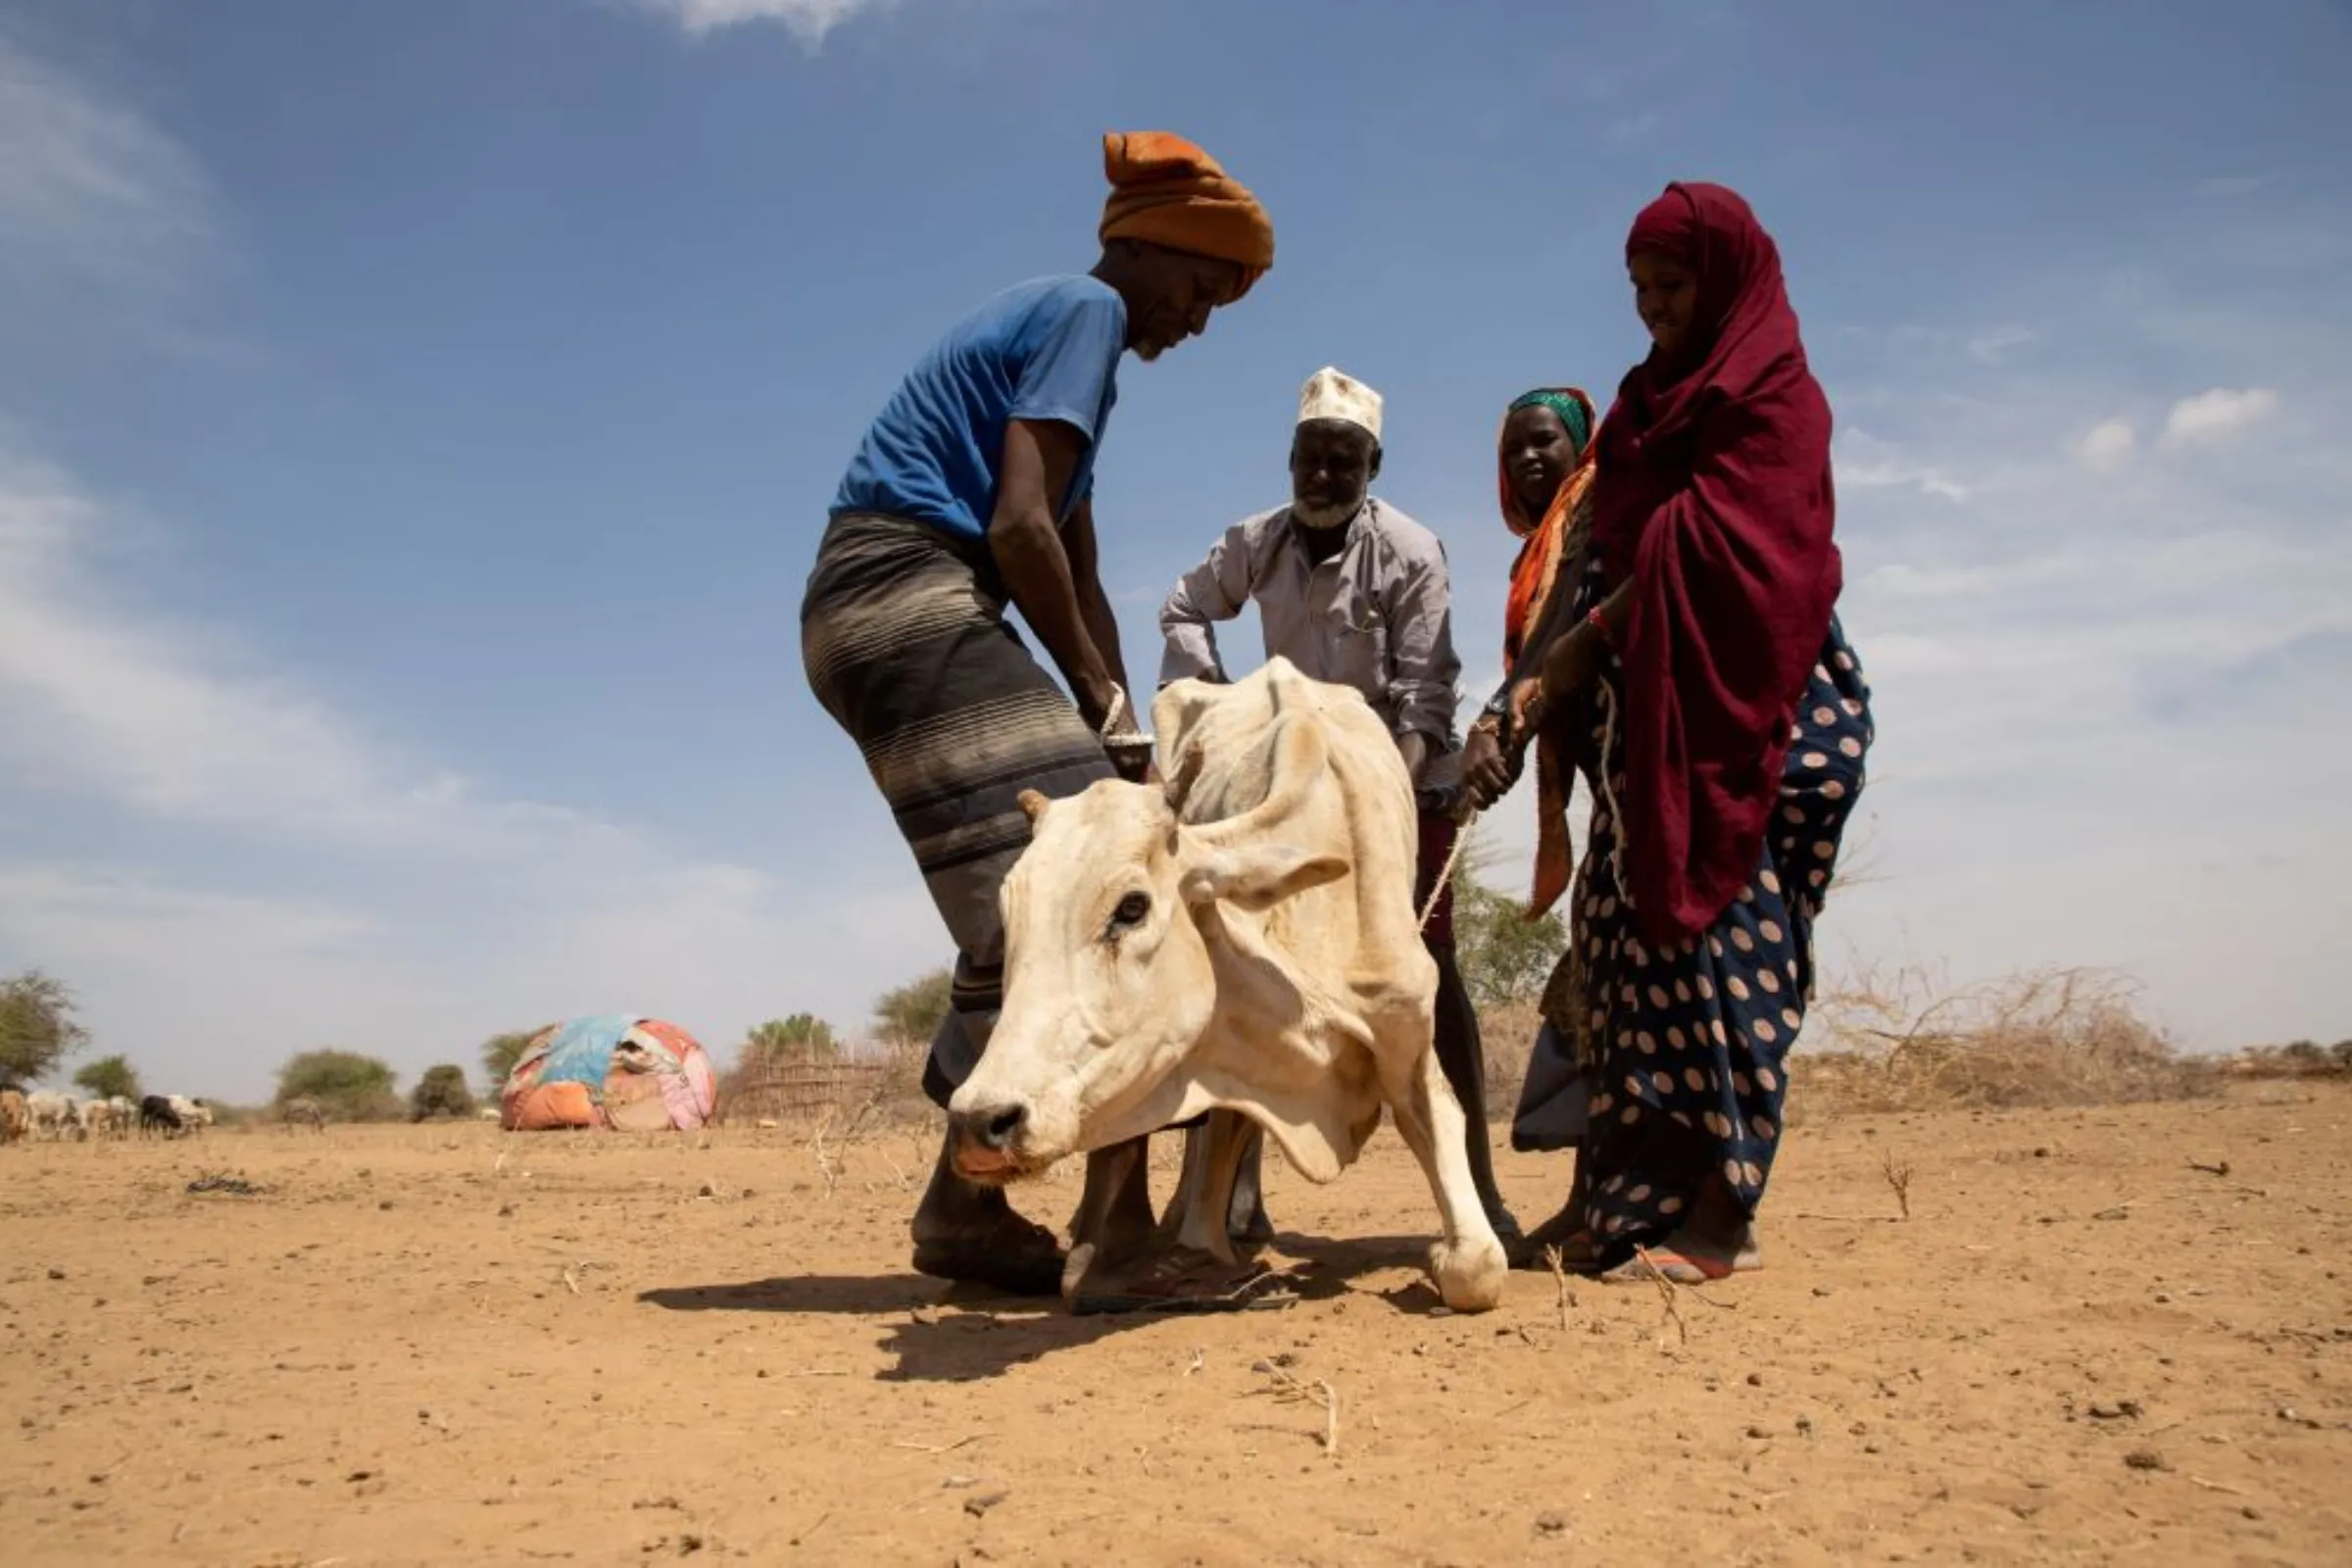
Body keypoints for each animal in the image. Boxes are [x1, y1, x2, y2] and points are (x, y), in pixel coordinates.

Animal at [941, 658, 1505, 1316]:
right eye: (1011, 916)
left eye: (1132, 907)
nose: (980, 1121)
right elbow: (1216, 1150)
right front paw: (1195, 1249)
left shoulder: (1407, 1037)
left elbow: (1477, 1267)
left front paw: (1444, 1253)